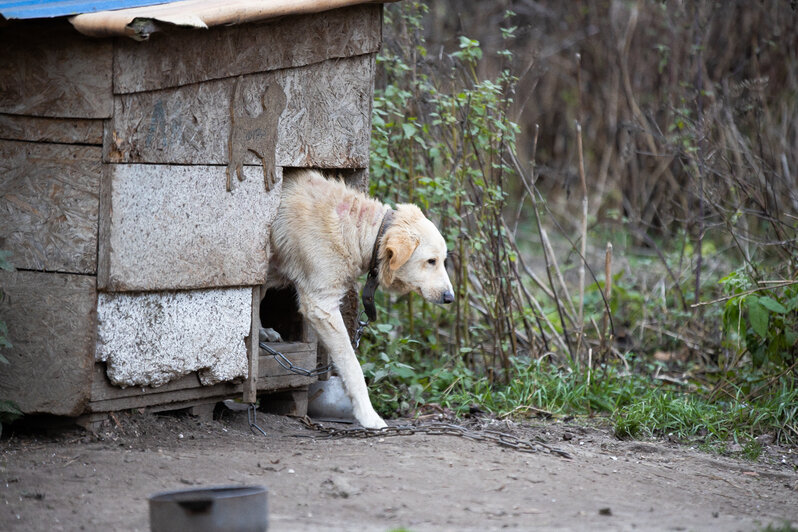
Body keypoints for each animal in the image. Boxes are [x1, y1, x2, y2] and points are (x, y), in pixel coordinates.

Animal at [266, 169, 456, 428]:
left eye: (442, 260)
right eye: (431, 261)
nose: (450, 297)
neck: (356, 230)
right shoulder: (321, 306)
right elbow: (352, 366)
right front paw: (368, 415)